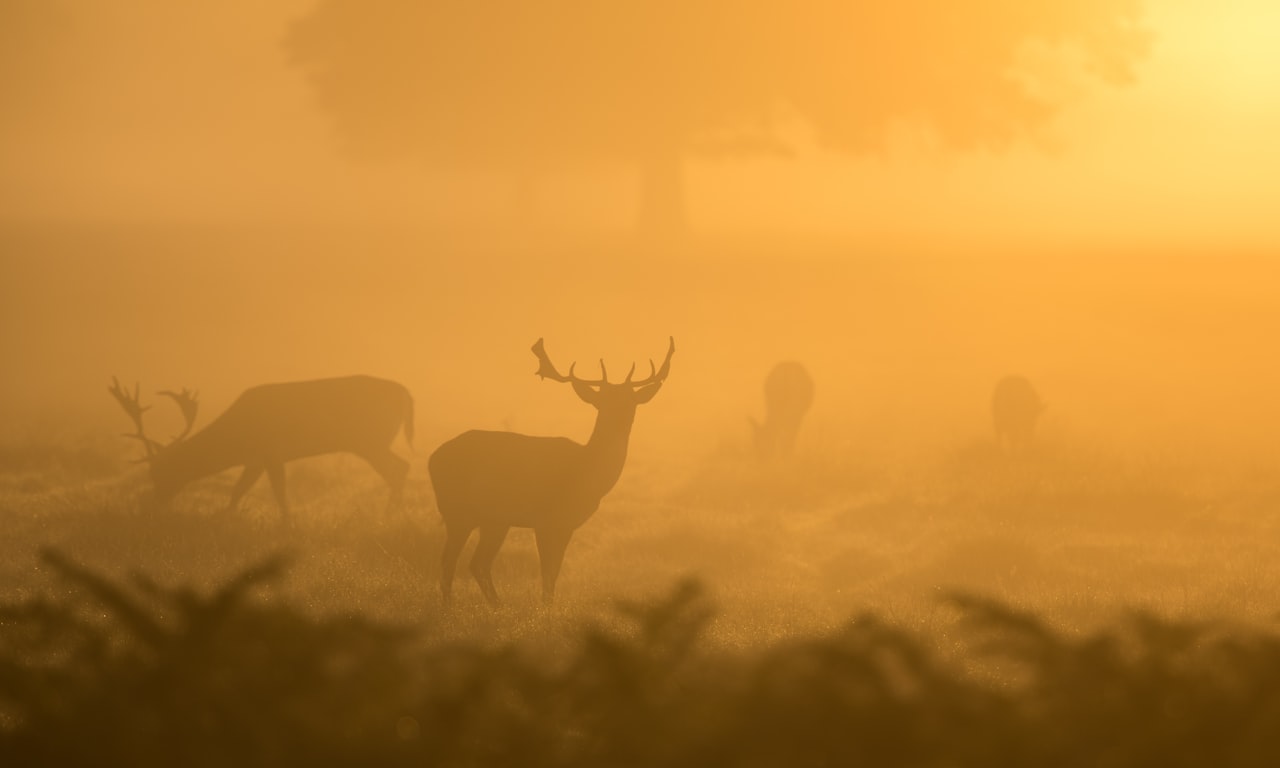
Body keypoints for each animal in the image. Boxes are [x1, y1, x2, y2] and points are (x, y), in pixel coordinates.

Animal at [108, 373, 414, 519]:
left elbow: (278, 491)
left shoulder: (271, 451)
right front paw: (225, 516)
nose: (150, 507)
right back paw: (394, 514)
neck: (237, 437)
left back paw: (389, 516)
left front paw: (287, 523)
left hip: (370, 440)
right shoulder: (255, 459)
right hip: (371, 442)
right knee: (400, 468)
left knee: (399, 468)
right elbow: (238, 491)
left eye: (161, 472)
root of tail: (406, 393)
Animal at [427, 335, 675, 606]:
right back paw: (452, 605)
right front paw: (546, 608)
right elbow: (547, 572)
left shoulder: (566, 524)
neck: (587, 472)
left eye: (631, 401)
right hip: (457, 511)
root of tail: (432, 459)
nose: (620, 419)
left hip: (493, 519)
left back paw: (496, 606)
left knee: (476, 563)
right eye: (602, 401)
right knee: (450, 561)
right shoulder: (546, 519)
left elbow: (554, 572)